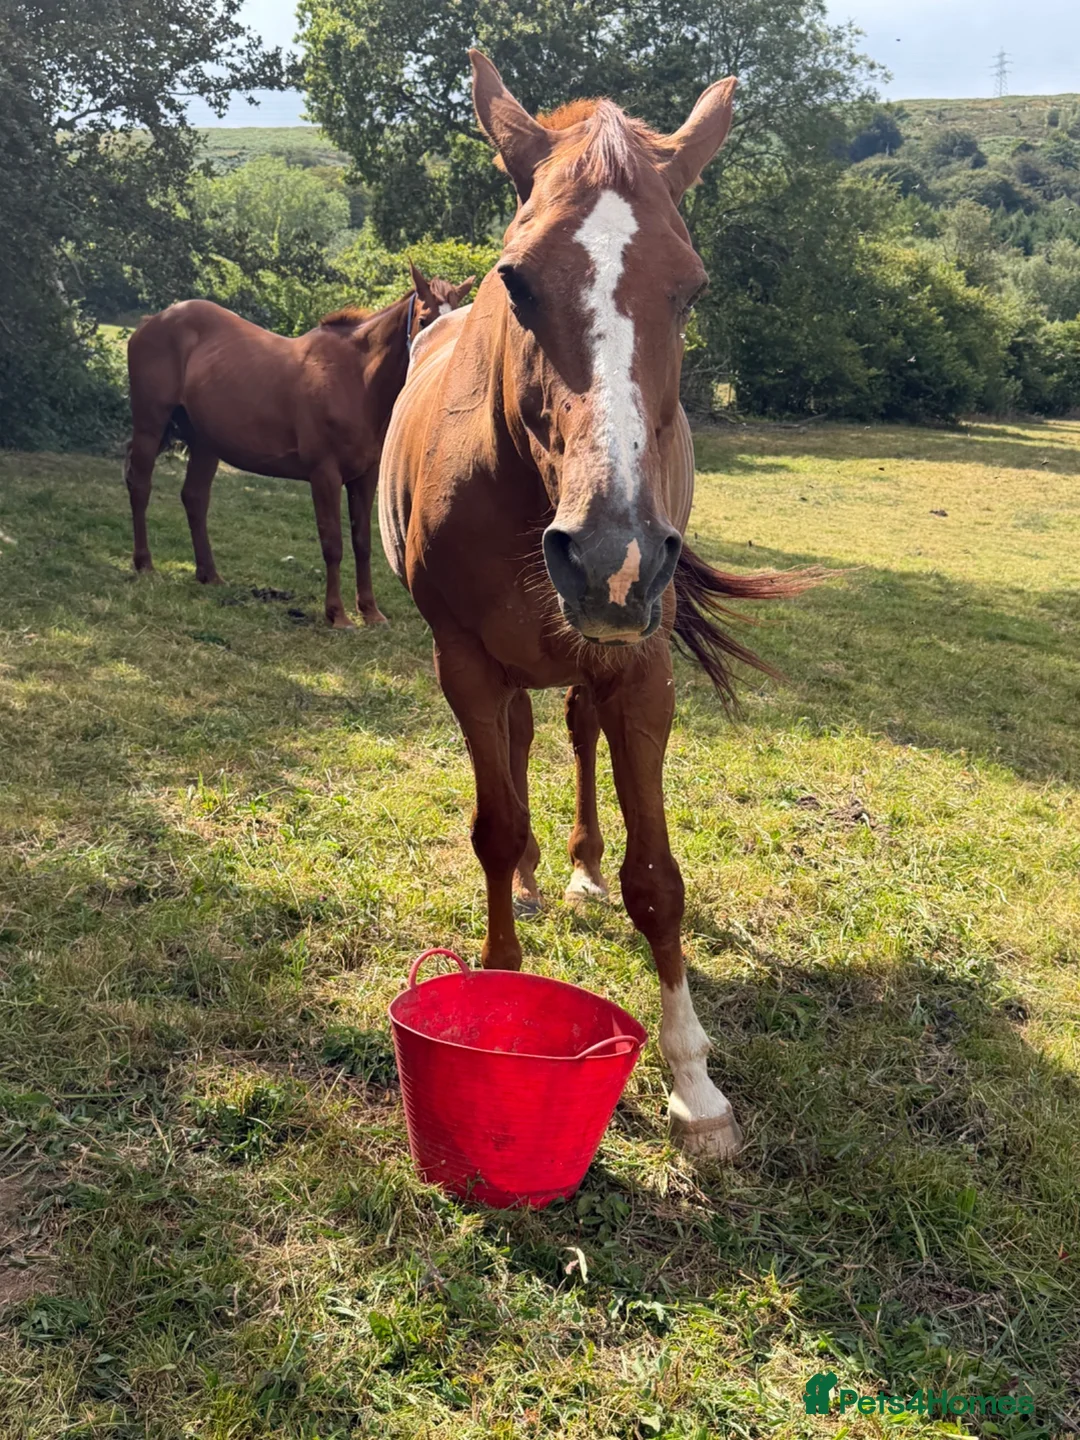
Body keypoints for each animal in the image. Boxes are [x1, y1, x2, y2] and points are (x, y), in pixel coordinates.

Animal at [124, 264, 474, 628]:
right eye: (424, 318)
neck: (355, 380)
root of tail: (152, 321)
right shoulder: (325, 475)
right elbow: (332, 543)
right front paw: (337, 615)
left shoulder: (364, 477)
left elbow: (362, 543)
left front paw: (370, 611)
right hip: (150, 426)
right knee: (141, 486)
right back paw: (144, 564)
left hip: (205, 443)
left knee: (194, 498)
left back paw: (209, 575)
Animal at [379, 52, 817, 1159]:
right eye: (517, 280)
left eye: (691, 288)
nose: (612, 556)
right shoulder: (464, 662)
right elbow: (493, 828)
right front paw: (496, 991)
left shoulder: (640, 669)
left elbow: (657, 880)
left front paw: (695, 1087)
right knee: (523, 742)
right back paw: (545, 869)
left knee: (572, 734)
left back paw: (575, 865)